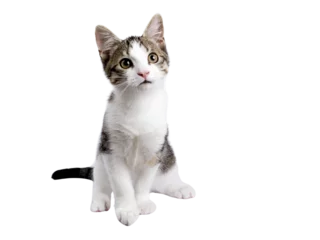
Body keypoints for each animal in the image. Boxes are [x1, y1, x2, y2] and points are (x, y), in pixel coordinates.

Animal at [90, 13, 195, 227]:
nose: (144, 73)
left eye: (152, 57)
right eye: (125, 63)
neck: (139, 103)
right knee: (101, 181)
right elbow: (121, 184)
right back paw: (101, 198)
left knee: (161, 182)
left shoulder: (155, 149)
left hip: (167, 160)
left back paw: (179, 188)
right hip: (100, 160)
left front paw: (141, 203)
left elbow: (144, 180)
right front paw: (127, 209)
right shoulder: (110, 148)